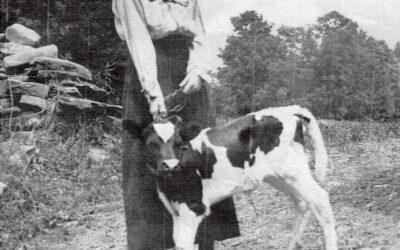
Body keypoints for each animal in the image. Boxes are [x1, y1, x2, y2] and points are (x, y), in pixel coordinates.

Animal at [123, 105, 336, 250]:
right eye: (151, 144)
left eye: (178, 144)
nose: (171, 165)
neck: (168, 185)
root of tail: (289, 109)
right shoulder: (176, 209)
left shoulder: (194, 206)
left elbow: (185, 244)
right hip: (280, 176)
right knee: (301, 201)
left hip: (293, 170)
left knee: (320, 199)